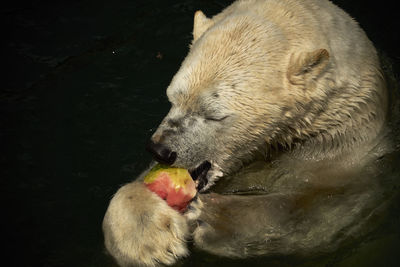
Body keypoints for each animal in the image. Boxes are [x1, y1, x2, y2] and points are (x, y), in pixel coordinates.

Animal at [102, 1, 390, 266]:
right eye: (173, 98)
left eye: (213, 114)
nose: (160, 150)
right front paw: (149, 239)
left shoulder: (341, 158)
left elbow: (315, 209)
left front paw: (207, 215)